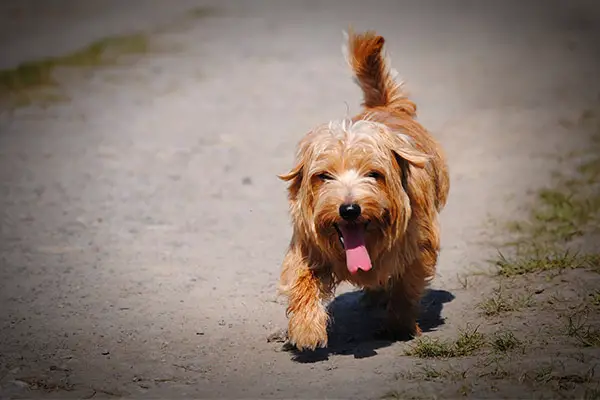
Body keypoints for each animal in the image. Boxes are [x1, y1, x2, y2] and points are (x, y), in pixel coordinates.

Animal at [278, 29, 448, 352]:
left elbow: (406, 286)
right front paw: (306, 329)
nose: (349, 209)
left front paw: (400, 324)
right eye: (324, 176)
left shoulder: (418, 247)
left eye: (374, 174)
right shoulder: (307, 246)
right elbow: (302, 280)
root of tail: (384, 107)